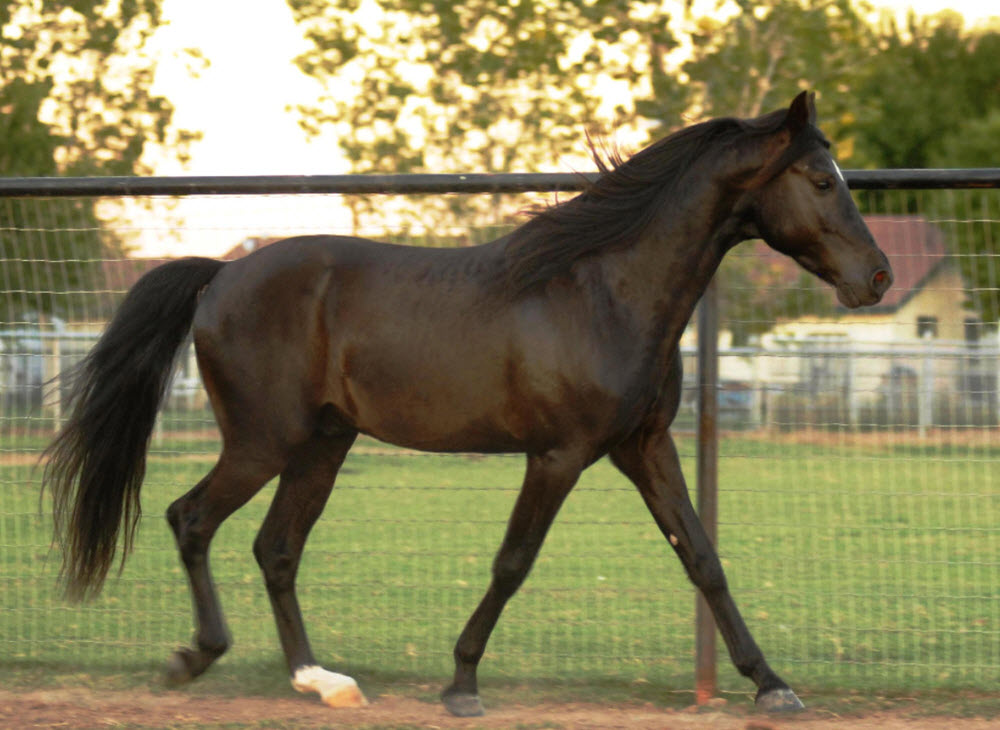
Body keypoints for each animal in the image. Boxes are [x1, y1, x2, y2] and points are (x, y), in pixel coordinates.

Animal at [45, 89, 892, 712]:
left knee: (276, 549)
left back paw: (322, 682)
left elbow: (703, 557)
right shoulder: (559, 455)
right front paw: (461, 682)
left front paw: (772, 684)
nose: (878, 277)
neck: (602, 293)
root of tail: (220, 276)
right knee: (192, 519)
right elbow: (513, 561)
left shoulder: (643, 446)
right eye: (822, 180)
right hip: (262, 443)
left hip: (323, 446)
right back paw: (195, 657)